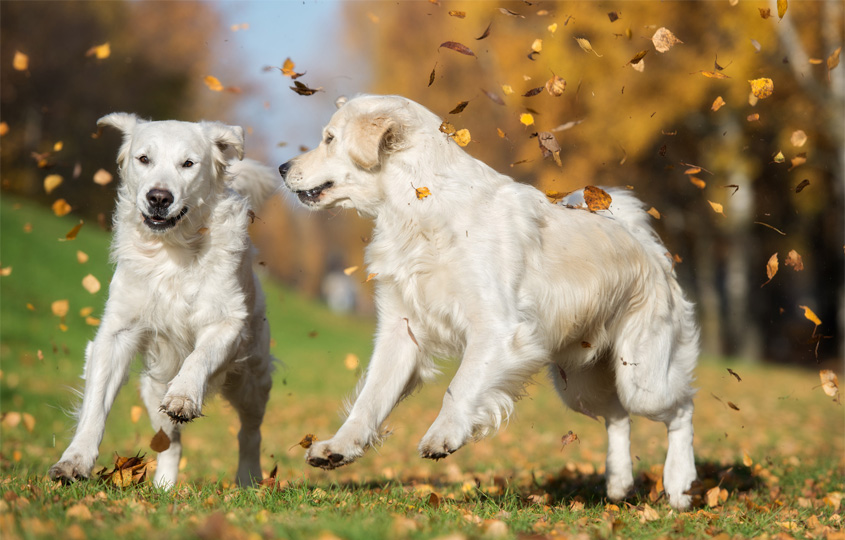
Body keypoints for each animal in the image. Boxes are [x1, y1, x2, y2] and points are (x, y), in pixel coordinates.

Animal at [49, 115, 278, 490]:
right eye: (144, 158)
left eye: (188, 163)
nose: (159, 197)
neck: (172, 249)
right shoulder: (118, 332)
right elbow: (95, 406)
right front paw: (74, 461)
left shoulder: (226, 322)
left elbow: (199, 356)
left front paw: (184, 395)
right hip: (153, 387)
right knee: (170, 441)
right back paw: (164, 487)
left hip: (251, 380)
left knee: (250, 433)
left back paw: (248, 479)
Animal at [280, 94, 704, 510]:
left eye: (329, 138)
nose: (283, 167)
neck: (419, 209)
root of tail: (646, 243)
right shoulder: (401, 332)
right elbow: (370, 399)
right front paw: (338, 447)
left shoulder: (497, 330)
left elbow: (460, 385)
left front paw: (444, 434)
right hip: (580, 384)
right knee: (617, 416)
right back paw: (618, 484)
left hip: (643, 379)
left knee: (681, 409)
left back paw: (678, 485)